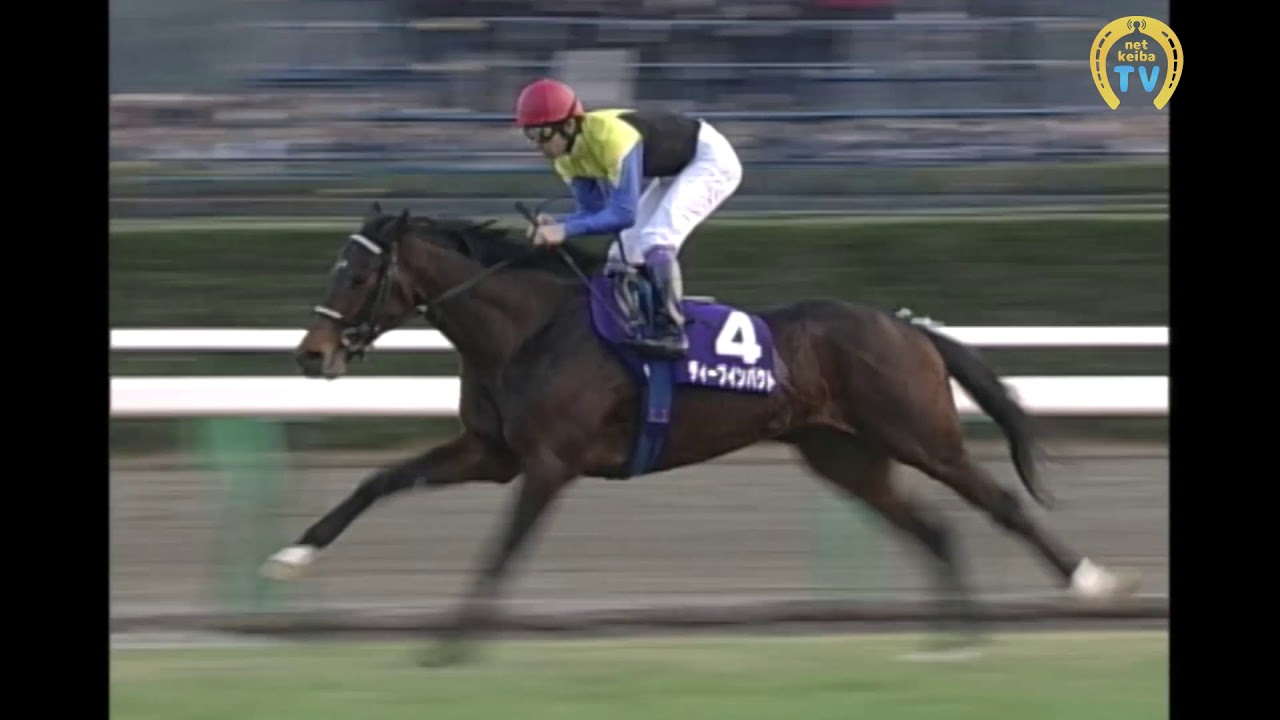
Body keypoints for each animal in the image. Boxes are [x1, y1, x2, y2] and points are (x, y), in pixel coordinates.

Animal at [261, 203, 1139, 665]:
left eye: (359, 273)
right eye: (334, 268)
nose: (311, 355)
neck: (528, 329)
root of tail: (907, 326)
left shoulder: (548, 464)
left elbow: (501, 549)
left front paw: (452, 644)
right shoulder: (493, 454)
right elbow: (379, 480)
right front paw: (294, 555)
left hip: (922, 437)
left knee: (999, 503)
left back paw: (1088, 583)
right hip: (846, 457)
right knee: (935, 527)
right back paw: (958, 636)